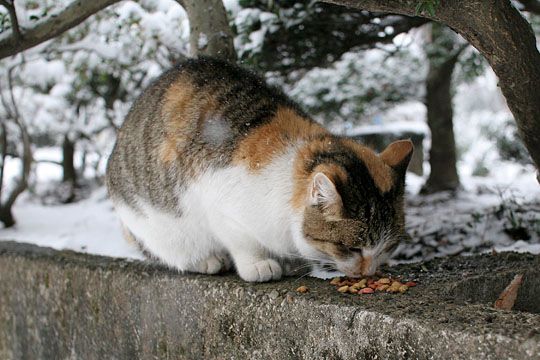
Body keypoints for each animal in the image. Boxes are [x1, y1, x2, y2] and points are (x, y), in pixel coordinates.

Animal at [106, 56, 414, 282]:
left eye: (389, 247)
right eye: (351, 248)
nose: (368, 272)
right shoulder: (219, 205)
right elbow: (242, 241)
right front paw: (260, 265)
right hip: (158, 225)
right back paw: (207, 261)